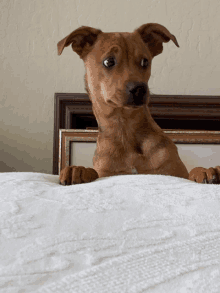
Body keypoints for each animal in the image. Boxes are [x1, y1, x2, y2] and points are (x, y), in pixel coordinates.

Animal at [57, 23, 220, 182]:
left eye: (145, 61)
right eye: (109, 61)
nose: (139, 89)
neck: (125, 128)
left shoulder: (174, 172)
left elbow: (191, 172)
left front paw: (206, 171)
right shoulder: (106, 172)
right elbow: (93, 172)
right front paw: (77, 170)